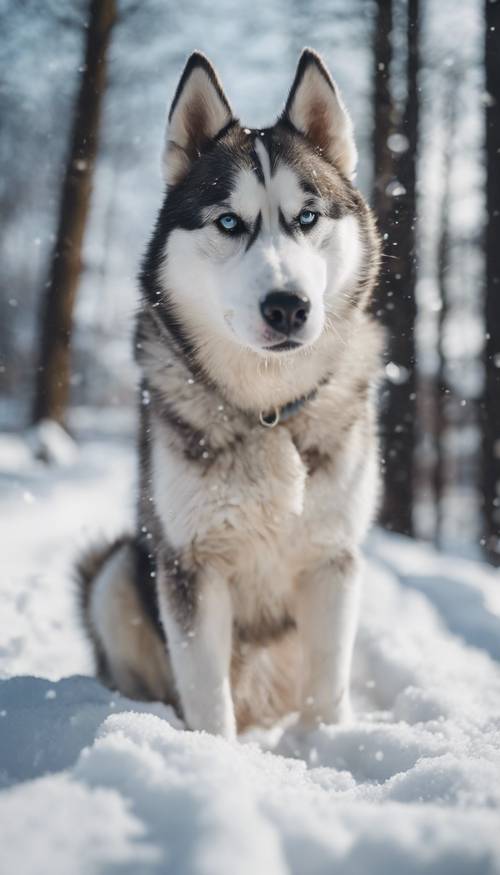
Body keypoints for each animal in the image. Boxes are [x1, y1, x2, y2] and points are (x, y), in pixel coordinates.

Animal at [77, 48, 382, 740]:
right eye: (228, 222)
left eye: (307, 217)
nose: (288, 306)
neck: (270, 411)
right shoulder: (191, 563)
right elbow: (207, 698)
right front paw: (211, 756)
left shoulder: (334, 560)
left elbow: (327, 692)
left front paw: (325, 750)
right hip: (117, 571)